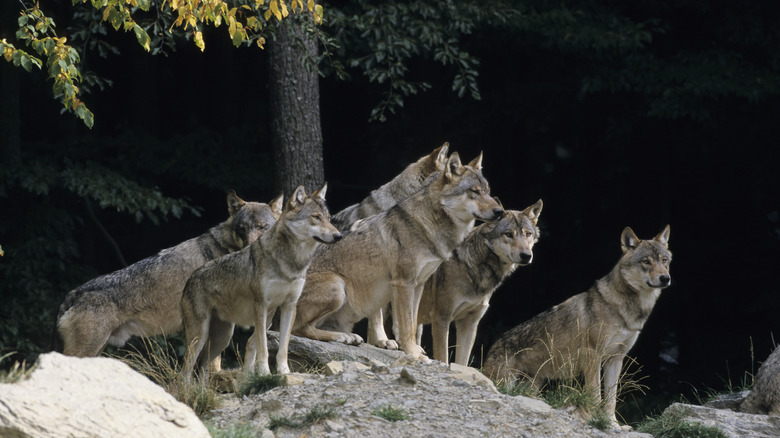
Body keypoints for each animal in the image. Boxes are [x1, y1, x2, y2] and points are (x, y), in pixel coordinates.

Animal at [183, 182, 342, 376]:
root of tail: (190, 278)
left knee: (202, 369)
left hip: (222, 339)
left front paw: (284, 372)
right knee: (184, 371)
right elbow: (263, 346)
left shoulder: (289, 306)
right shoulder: (261, 306)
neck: (291, 262)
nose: (339, 236)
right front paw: (265, 373)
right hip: (199, 337)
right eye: (316, 217)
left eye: (328, 218)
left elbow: (283, 346)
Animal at [290, 152, 502, 358]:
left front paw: (414, 350)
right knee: (298, 329)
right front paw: (413, 354)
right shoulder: (403, 283)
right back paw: (343, 337)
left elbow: (413, 323)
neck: (427, 225)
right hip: (337, 285)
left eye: (488, 191)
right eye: (475, 191)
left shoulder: (418, 284)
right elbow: (406, 325)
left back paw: (348, 337)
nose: (500, 211)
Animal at [414, 200, 544, 364]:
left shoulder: (469, 323)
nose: (526, 255)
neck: (473, 268)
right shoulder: (441, 318)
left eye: (528, 234)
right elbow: (443, 357)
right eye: (508, 234)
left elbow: (462, 362)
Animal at [482, 226, 672, 428]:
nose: (665, 278)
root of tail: (494, 345)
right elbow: (596, 394)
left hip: (533, 385)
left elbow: (611, 398)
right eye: (646, 262)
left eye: (664, 260)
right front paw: (595, 417)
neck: (627, 309)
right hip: (506, 381)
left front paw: (612, 423)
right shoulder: (592, 355)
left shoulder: (615, 359)